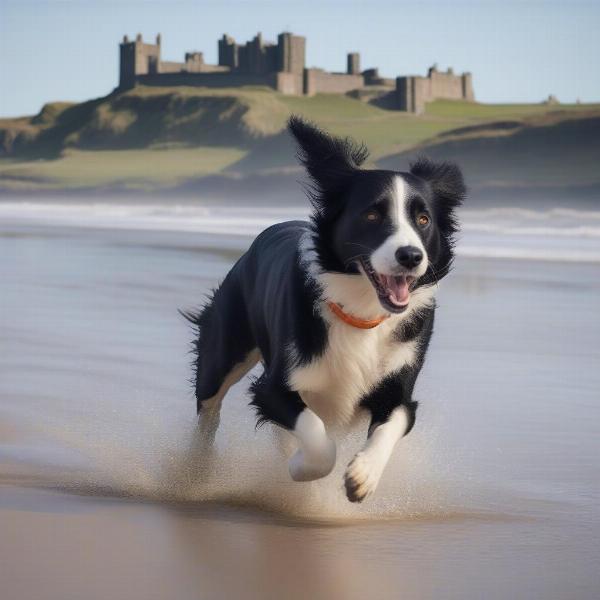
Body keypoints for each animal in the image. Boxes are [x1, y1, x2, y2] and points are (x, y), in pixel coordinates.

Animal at [185, 116, 466, 502]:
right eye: (372, 214)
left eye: (423, 220)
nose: (411, 256)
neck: (361, 310)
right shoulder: (275, 386)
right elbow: (318, 442)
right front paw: (298, 467)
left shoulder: (399, 384)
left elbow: (392, 422)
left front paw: (362, 476)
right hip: (225, 346)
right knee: (208, 409)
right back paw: (195, 473)